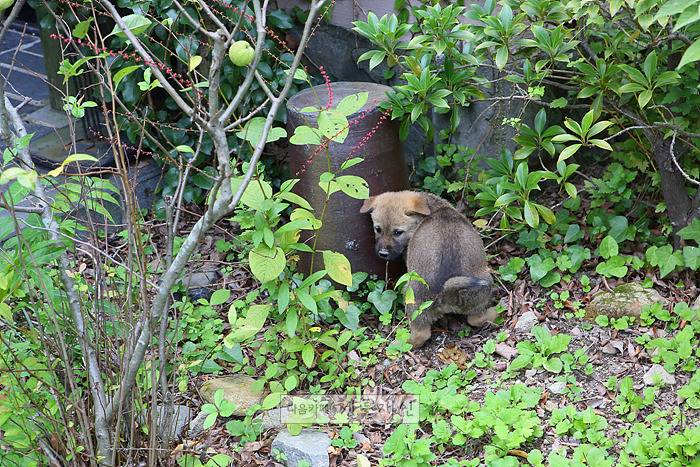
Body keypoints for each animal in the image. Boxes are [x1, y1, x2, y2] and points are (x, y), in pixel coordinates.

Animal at [358, 190, 494, 348]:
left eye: (398, 232)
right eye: (378, 229)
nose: (383, 254)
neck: (434, 210)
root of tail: (445, 292)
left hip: (411, 296)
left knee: (420, 335)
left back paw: (400, 343)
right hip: (482, 288)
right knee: (476, 319)